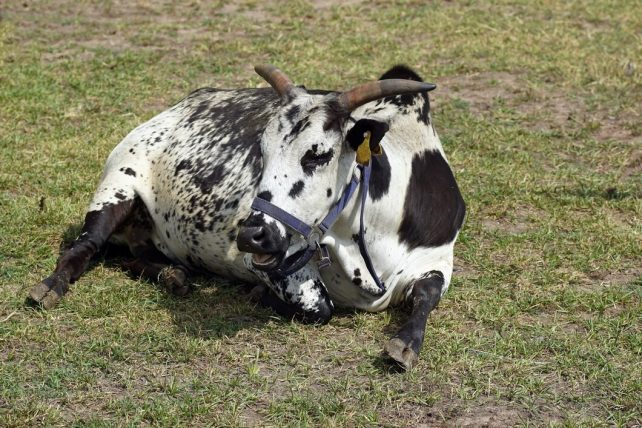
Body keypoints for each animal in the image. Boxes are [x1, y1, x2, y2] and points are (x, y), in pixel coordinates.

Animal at [28, 64, 465, 370]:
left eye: (318, 154)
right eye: (262, 150)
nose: (251, 235)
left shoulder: (437, 260)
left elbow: (426, 295)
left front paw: (405, 344)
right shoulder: (273, 266)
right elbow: (318, 307)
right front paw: (260, 295)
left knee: (129, 255)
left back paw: (170, 274)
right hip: (117, 187)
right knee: (85, 247)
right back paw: (49, 287)